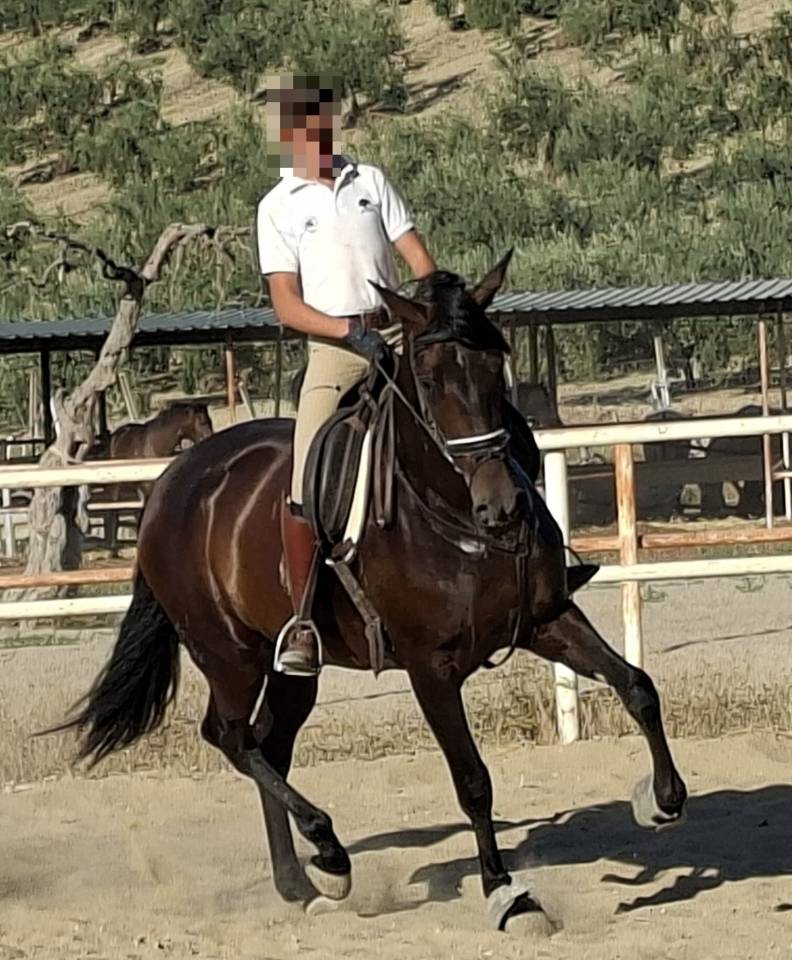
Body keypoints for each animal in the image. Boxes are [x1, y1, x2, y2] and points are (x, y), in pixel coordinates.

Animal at [48, 259, 686, 932]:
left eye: (497, 363)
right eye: (429, 379)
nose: (503, 506)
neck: (451, 516)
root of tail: (173, 481)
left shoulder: (546, 620)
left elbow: (637, 686)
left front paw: (661, 800)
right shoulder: (431, 669)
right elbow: (472, 779)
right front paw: (506, 893)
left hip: (292, 667)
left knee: (270, 742)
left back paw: (304, 880)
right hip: (228, 654)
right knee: (233, 737)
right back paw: (327, 848)